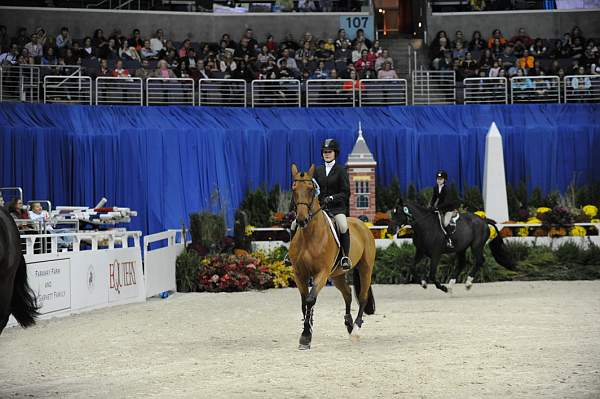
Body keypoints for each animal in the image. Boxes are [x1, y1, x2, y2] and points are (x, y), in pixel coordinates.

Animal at [288, 165, 376, 350]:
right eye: (294, 188)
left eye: (310, 189)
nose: (301, 220)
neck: (309, 235)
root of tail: (362, 224)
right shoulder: (299, 274)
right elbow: (304, 302)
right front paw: (307, 331)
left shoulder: (322, 273)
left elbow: (310, 299)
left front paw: (306, 336)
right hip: (337, 276)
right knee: (348, 294)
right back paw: (349, 324)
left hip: (365, 268)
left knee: (362, 297)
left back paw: (356, 329)